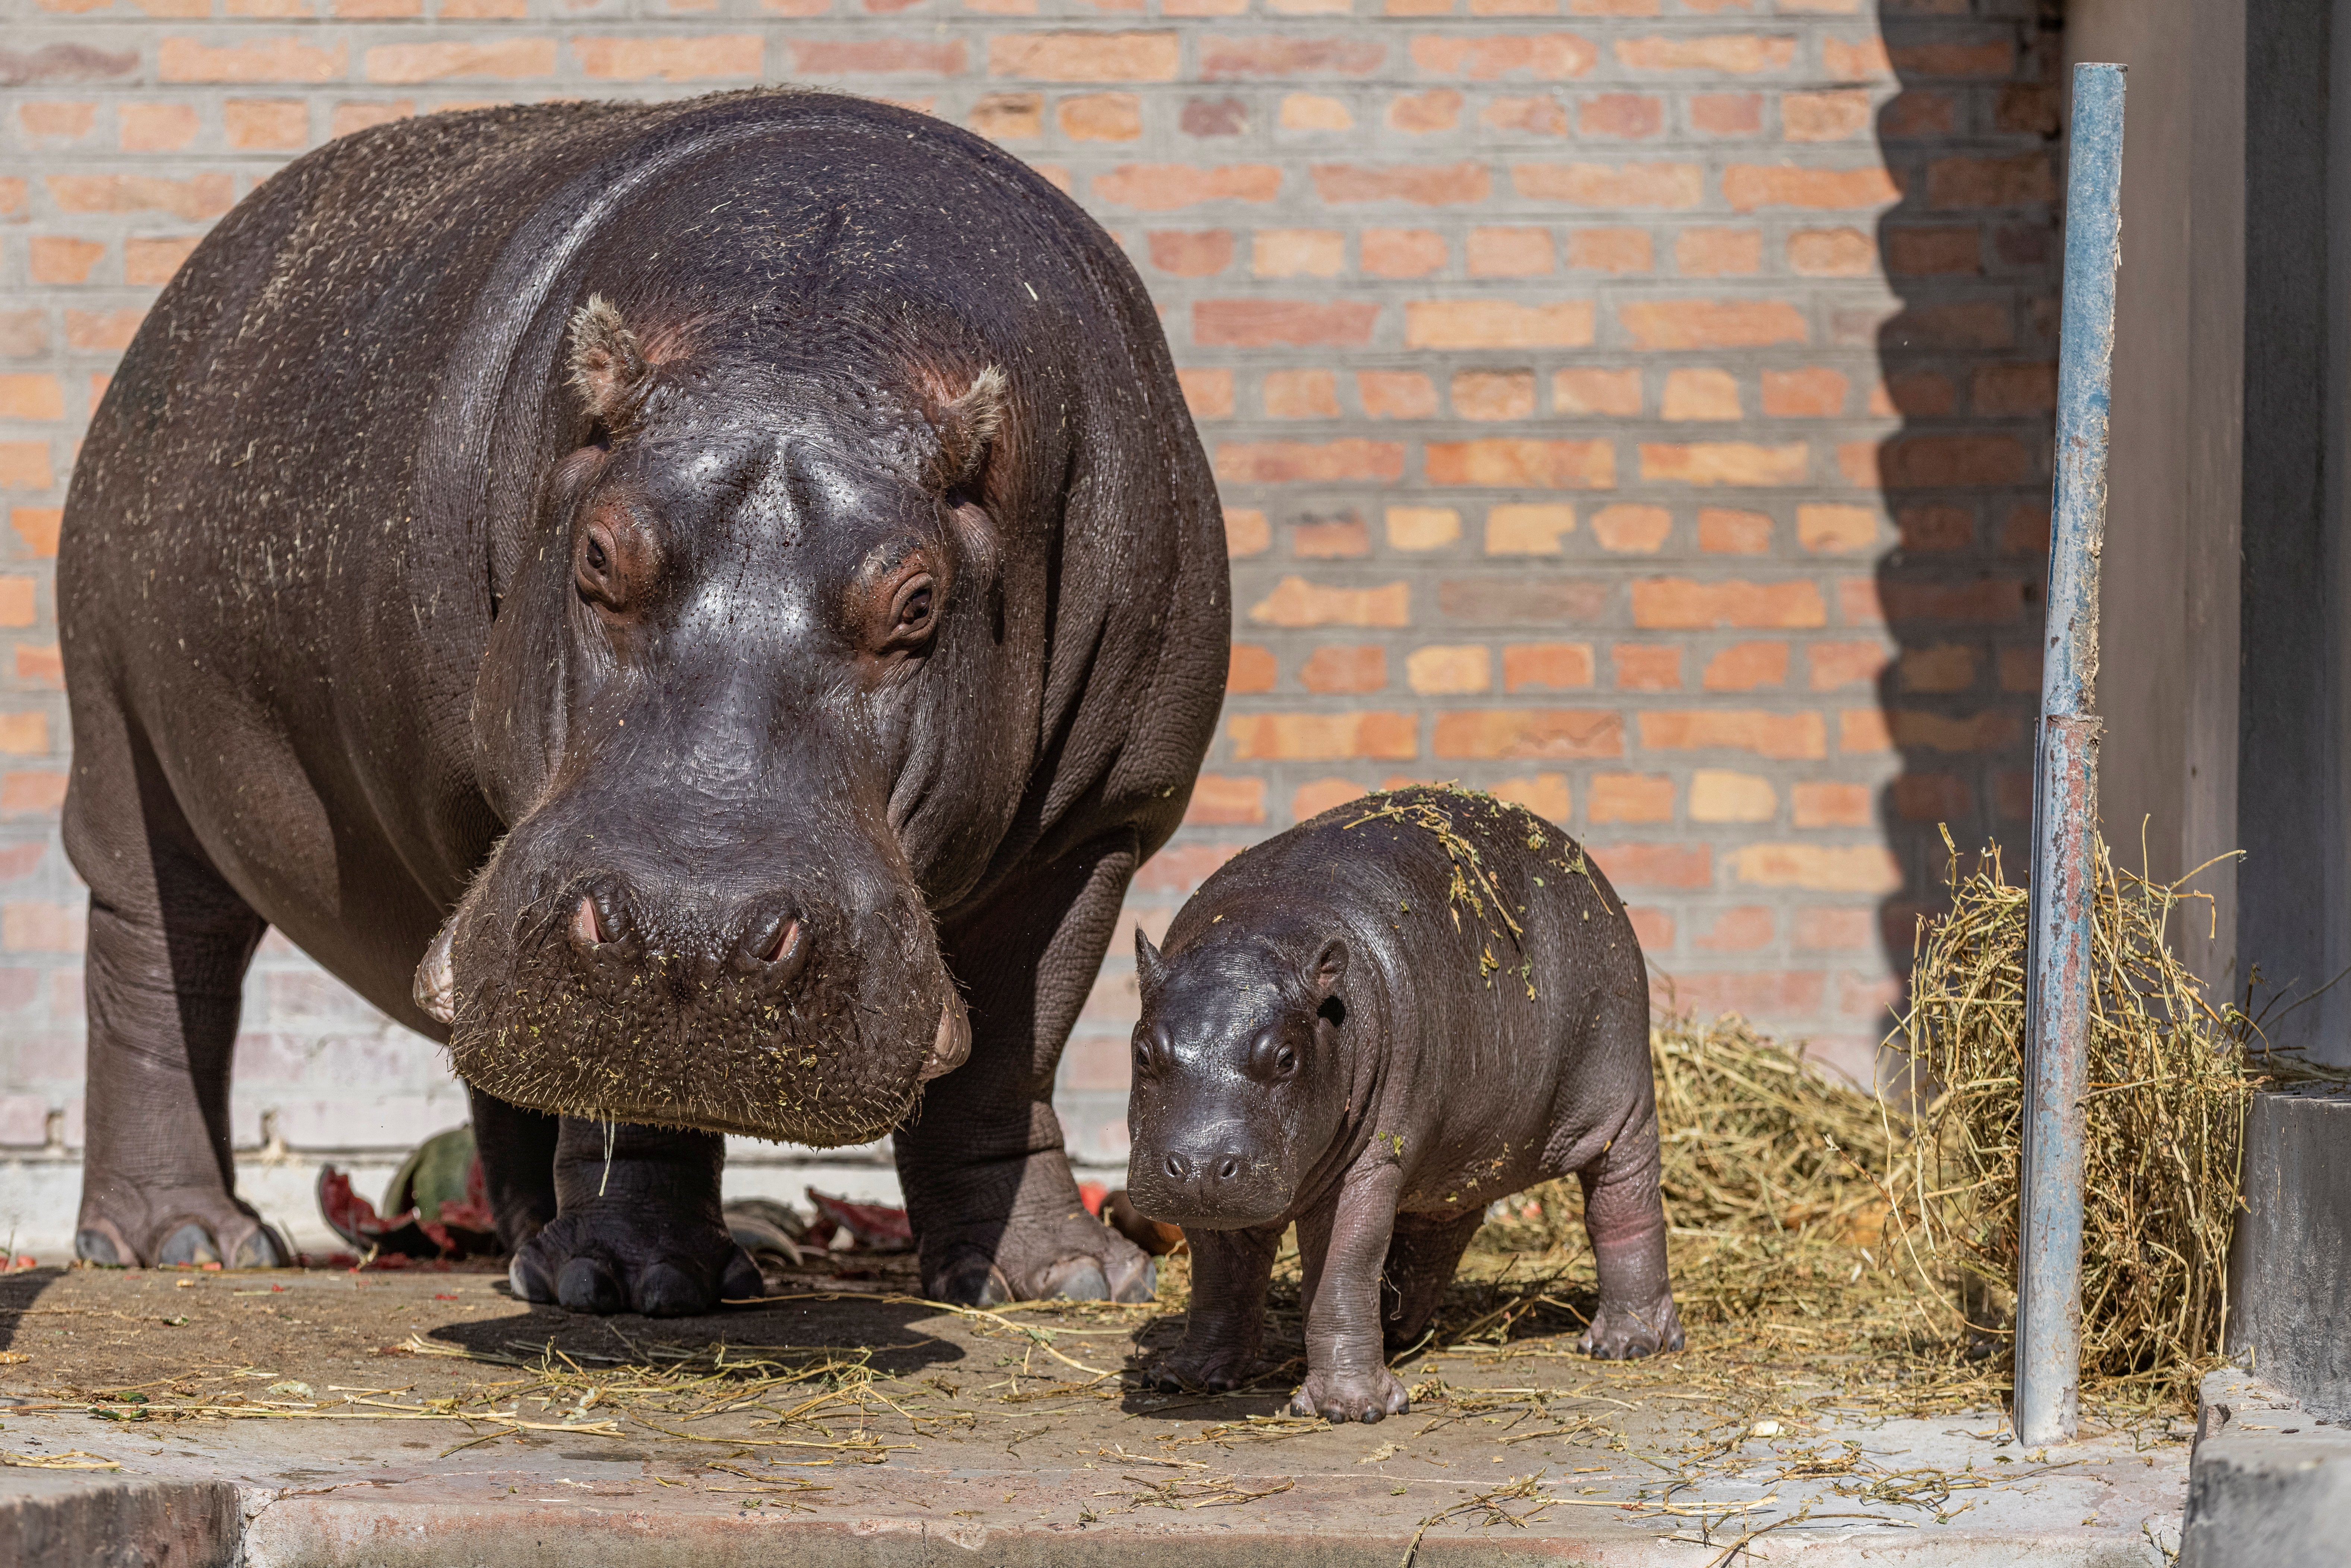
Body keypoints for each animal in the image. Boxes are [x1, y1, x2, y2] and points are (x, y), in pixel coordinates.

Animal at [60, 86, 1232, 1316]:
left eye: (917, 601)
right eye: (596, 551)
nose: (691, 929)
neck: (807, 339)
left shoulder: (1099, 823)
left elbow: (1011, 1055)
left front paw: (1060, 1277)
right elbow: (635, 1099)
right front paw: (629, 1276)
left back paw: (519, 1240)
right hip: (122, 737)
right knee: (156, 960)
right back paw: (190, 1239)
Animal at [1128, 785, 1683, 1420]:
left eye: (1286, 1057)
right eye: (1142, 1050)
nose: (1198, 1164)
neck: (1254, 931)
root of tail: (1589, 867)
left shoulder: (1371, 1161)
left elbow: (1345, 1264)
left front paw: (1354, 1407)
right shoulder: (1209, 1189)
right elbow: (1219, 1271)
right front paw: (1184, 1377)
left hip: (1621, 1095)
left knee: (1623, 1204)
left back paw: (1625, 1342)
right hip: (1456, 1149)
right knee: (1436, 1231)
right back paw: (1397, 1330)